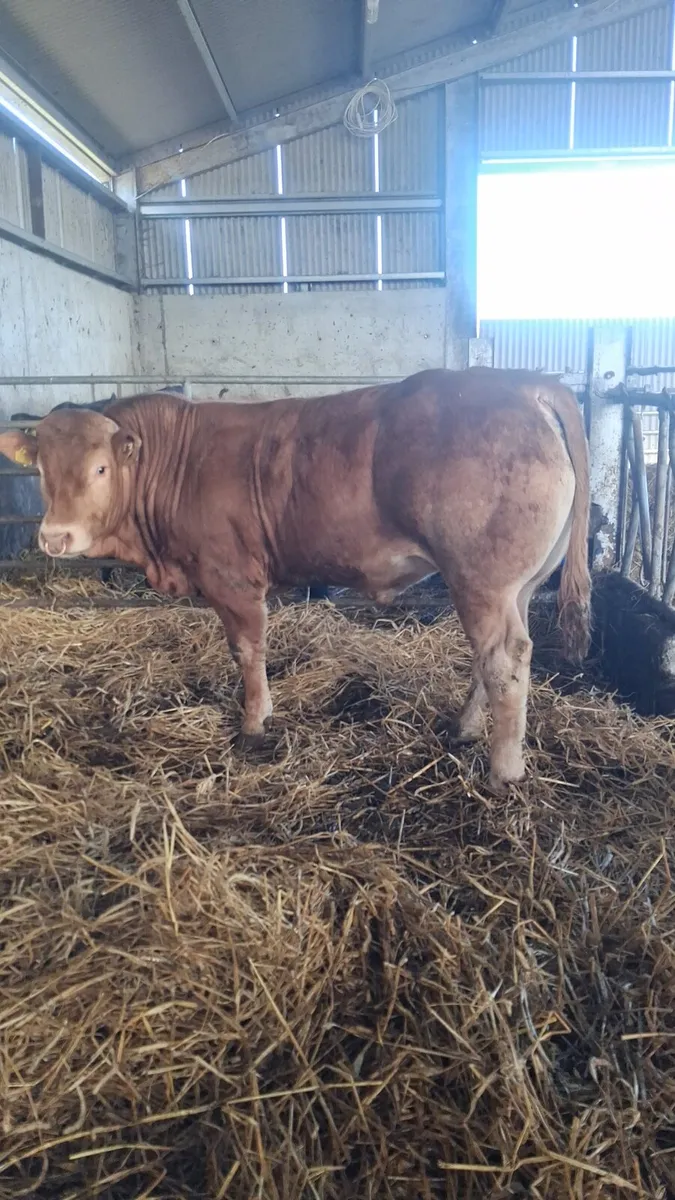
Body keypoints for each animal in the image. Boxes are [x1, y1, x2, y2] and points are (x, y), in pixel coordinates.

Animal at [0, 367, 590, 791]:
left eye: (100, 468)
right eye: (42, 470)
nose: (55, 537)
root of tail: (520, 382)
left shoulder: (232, 578)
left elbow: (248, 651)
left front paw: (254, 723)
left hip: (481, 580)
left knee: (504, 661)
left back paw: (503, 772)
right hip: (515, 586)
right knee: (492, 659)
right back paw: (464, 728)